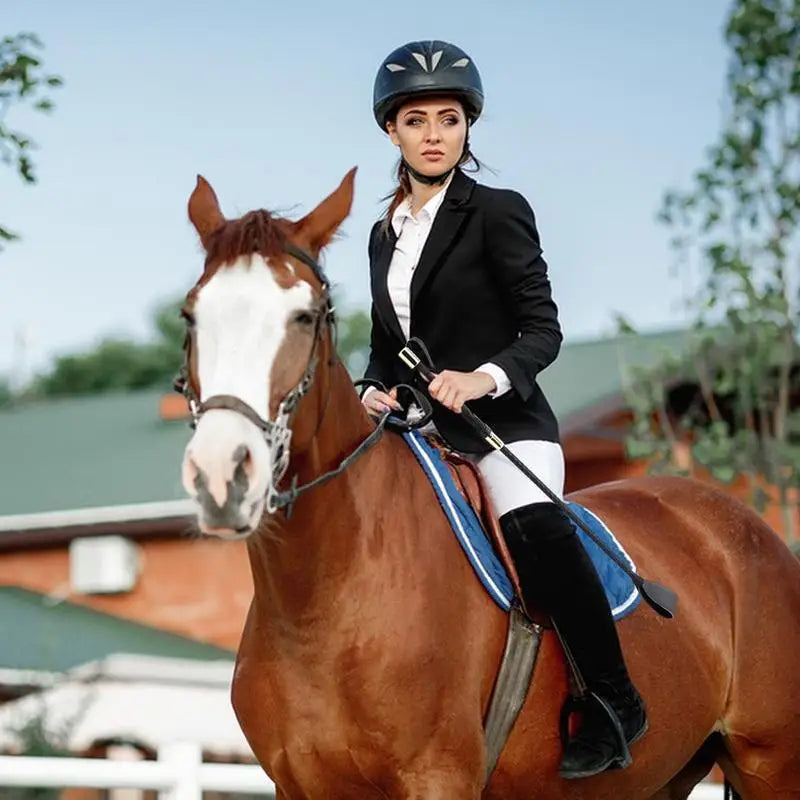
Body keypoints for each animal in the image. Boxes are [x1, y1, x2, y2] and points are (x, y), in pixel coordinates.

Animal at [177, 168, 800, 799]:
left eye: (304, 316)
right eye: (191, 316)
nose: (222, 475)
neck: (319, 602)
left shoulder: (439, 775)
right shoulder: (296, 785)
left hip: (771, 762)